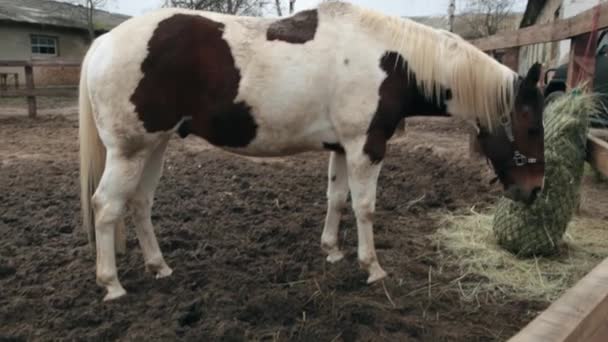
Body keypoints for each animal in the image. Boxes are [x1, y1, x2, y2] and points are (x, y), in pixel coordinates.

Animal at [77, 0, 548, 300]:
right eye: (529, 125)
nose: (534, 190)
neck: (392, 61)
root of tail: (102, 44)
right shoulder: (366, 147)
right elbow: (365, 208)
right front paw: (371, 267)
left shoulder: (341, 148)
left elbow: (336, 199)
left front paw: (333, 251)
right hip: (129, 151)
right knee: (106, 206)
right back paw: (112, 285)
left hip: (155, 145)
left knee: (139, 203)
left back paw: (159, 267)